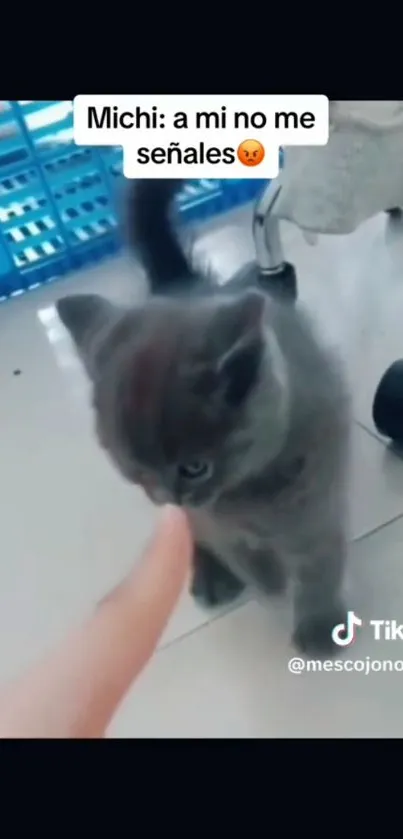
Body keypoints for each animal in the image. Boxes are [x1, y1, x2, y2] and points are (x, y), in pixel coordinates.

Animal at [57, 179, 354, 656]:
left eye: (195, 467)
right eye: (135, 469)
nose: (167, 494)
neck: (250, 491)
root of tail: (179, 284)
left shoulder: (318, 493)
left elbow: (318, 556)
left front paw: (320, 623)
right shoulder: (211, 518)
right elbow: (230, 546)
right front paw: (268, 579)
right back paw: (212, 574)